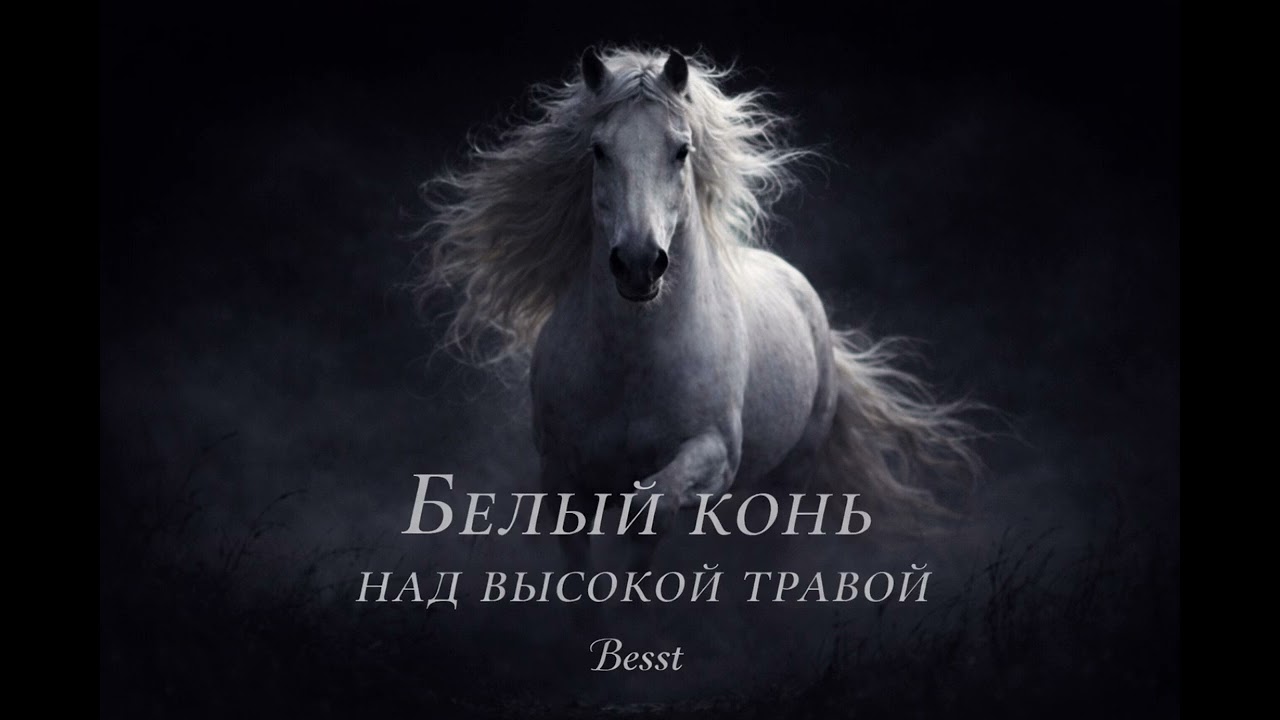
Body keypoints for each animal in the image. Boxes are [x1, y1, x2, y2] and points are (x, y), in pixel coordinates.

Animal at [417, 46, 978, 571]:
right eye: (598, 150)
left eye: (681, 150)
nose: (639, 264)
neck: (633, 363)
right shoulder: (561, 482)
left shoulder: (714, 456)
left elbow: (652, 506)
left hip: (791, 476)